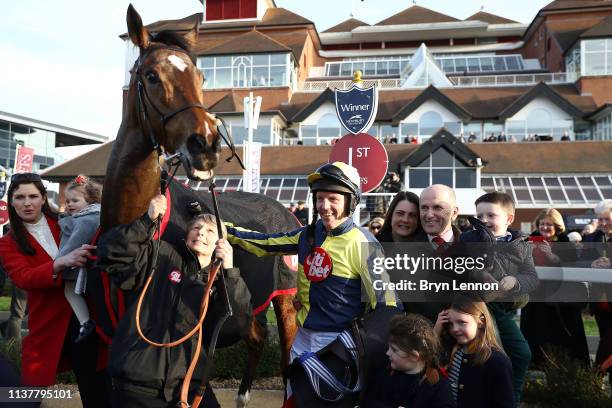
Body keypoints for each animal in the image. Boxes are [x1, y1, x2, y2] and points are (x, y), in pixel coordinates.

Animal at [98, 5, 298, 404]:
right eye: (152, 75)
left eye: (201, 75)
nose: (205, 143)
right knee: (256, 338)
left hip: (284, 298)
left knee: (288, 353)